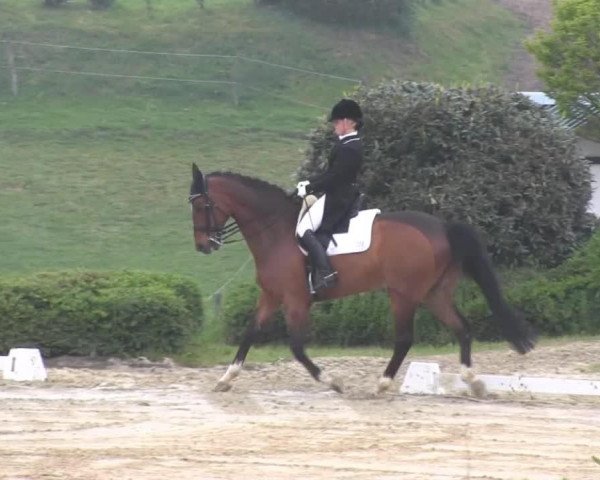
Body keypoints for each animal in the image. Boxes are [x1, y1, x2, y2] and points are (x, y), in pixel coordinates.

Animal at [189, 165, 536, 394]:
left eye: (203, 205)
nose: (203, 246)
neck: (276, 231)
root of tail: (442, 227)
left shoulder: (297, 300)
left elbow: (297, 348)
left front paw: (333, 381)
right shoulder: (271, 296)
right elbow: (249, 333)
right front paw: (226, 379)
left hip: (402, 294)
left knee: (404, 339)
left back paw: (382, 384)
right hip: (434, 294)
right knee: (462, 328)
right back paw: (473, 381)